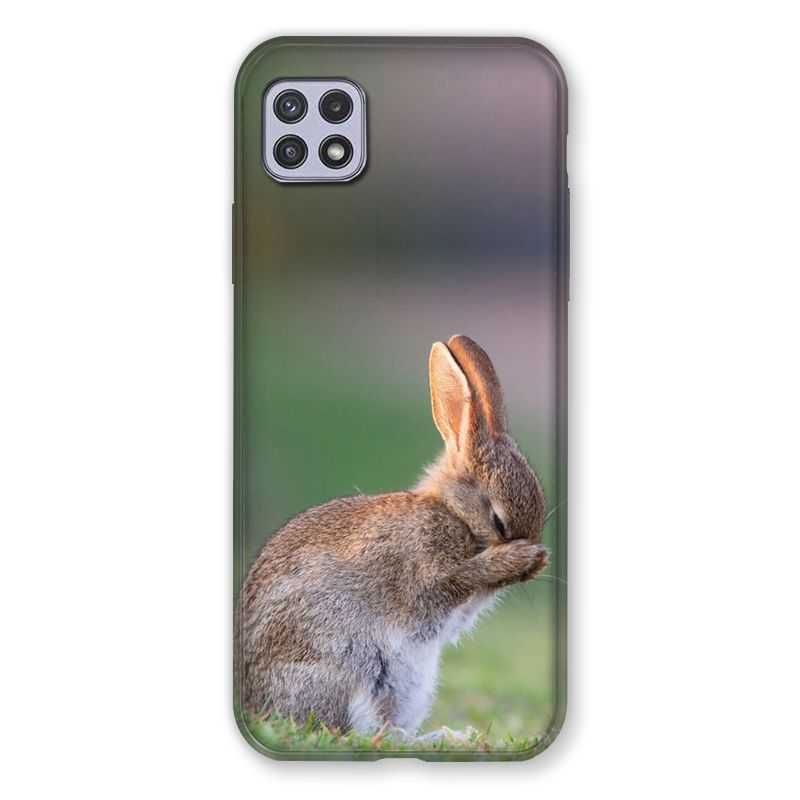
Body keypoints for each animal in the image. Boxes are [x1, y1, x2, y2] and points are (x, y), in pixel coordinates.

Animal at [237, 335, 549, 736]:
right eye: (498, 521)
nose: (535, 559)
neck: (453, 513)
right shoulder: (427, 571)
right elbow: (454, 580)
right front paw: (519, 558)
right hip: (351, 667)